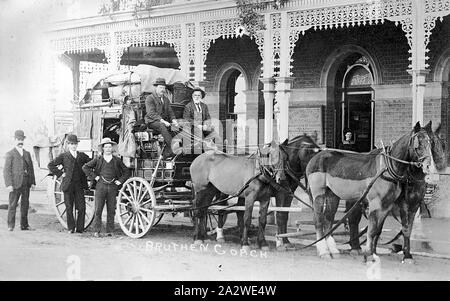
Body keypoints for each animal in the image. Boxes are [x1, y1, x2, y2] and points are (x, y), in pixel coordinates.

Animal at [306, 121, 446, 260]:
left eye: (431, 143)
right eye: (418, 144)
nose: (430, 168)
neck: (387, 168)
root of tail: (316, 156)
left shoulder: (388, 205)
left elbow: (380, 229)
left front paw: (375, 252)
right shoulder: (376, 203)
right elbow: (372, 230)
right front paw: (369, 254)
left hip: (332, 194)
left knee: (329, 219)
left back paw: (333, 250)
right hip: (318, 192)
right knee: (319, 220)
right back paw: (323, 251)